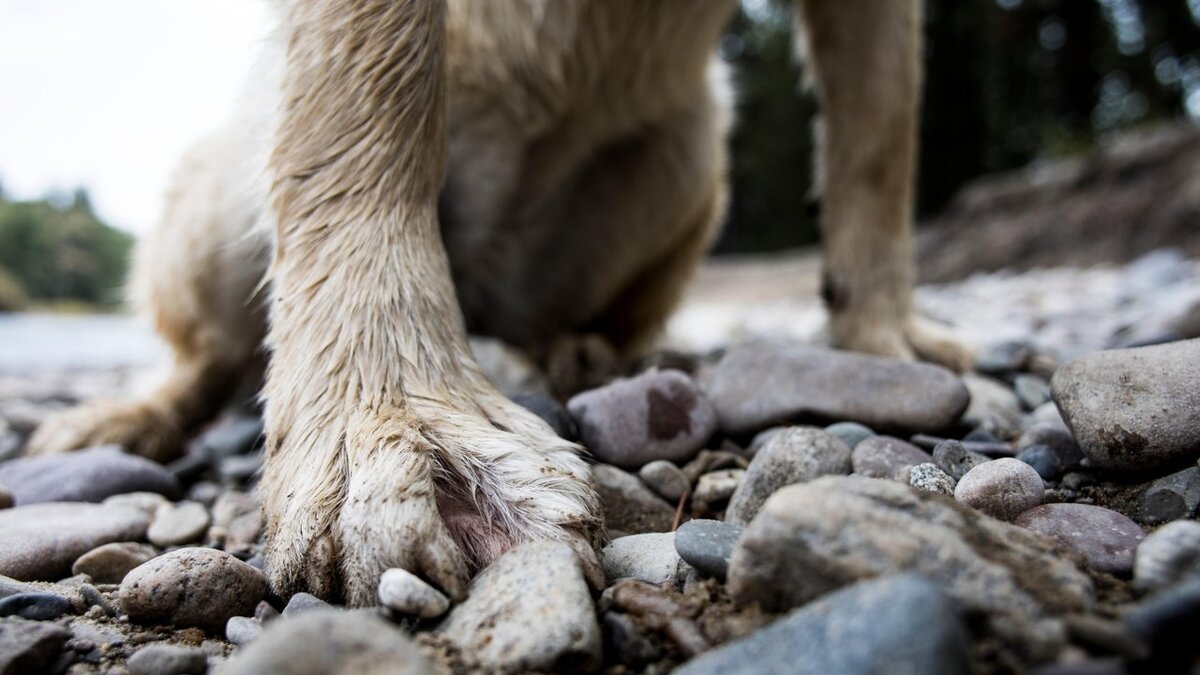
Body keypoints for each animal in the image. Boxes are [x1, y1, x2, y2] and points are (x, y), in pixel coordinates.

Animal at [28, 0, 969, 600]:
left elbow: (883, 128)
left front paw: (882, 332)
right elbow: (365, 97)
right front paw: (391, 414)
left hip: (690, 156)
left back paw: (584, 353)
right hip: (215, 195)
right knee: (211, 342)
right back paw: (129, 417)